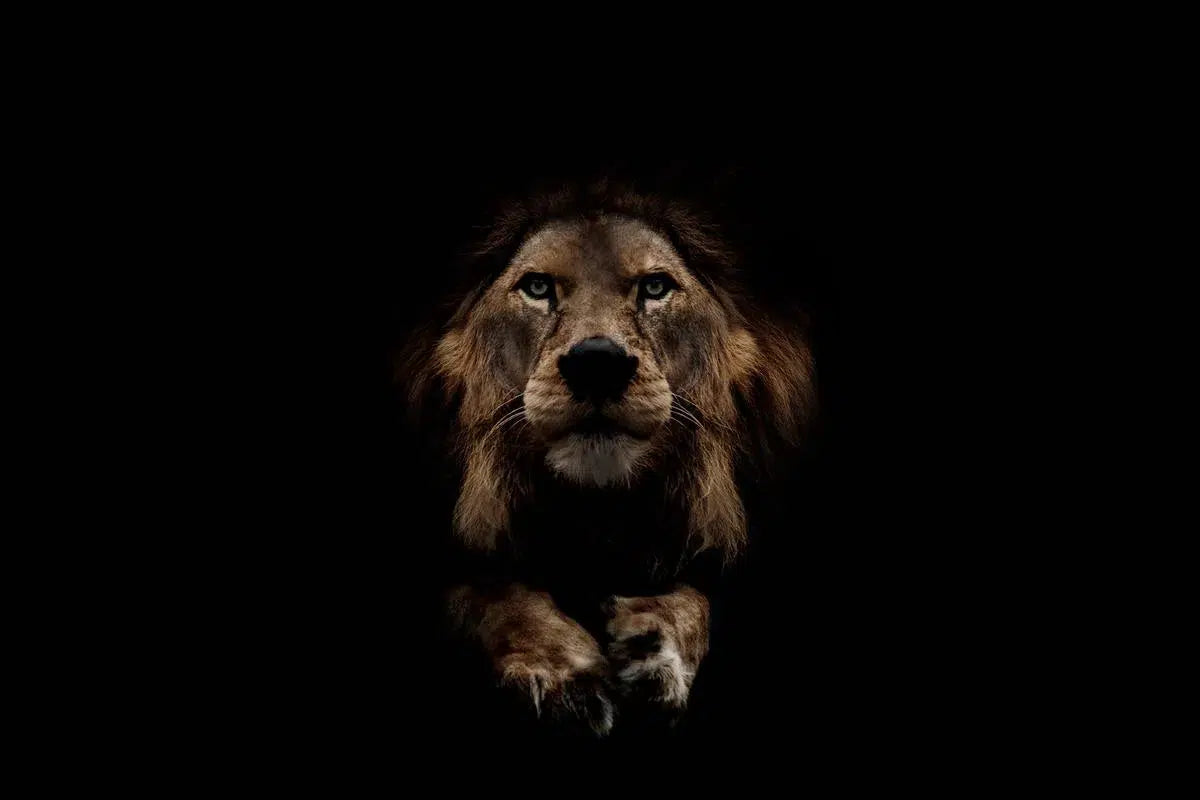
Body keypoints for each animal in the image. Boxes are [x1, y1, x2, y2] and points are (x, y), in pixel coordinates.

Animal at [398, 182, 815, 737]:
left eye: (655, 287)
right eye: (537, 287)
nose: (597, 362)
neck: (598, 514)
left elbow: (697, 597)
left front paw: (654, 647)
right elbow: (490, 592)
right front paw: (561, 670)